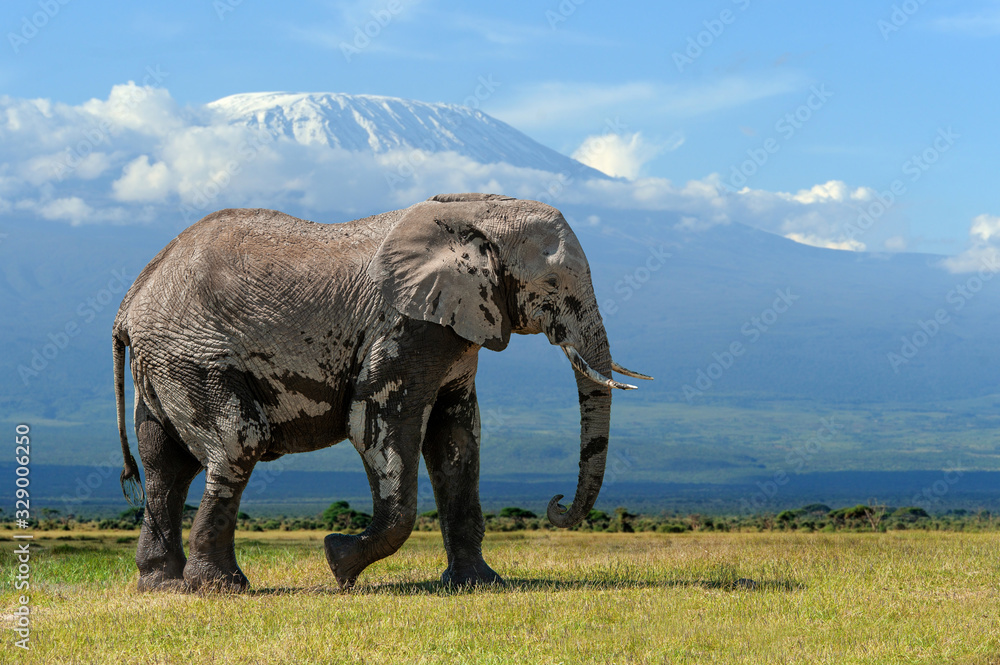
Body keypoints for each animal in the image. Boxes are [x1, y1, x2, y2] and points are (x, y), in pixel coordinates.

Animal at [113, 193, 650, 592]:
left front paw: (479, 584)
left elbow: (457, 441)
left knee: (164, 465)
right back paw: (222, 588)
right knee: (236, 446)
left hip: (163, 365)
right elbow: (379, 425)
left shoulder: (454, 327)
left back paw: (163, 587)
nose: (555, 503)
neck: (474, 213)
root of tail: (130, 302)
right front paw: (338, 561)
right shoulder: (403, 325)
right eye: (556, 283)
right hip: (194, 356)